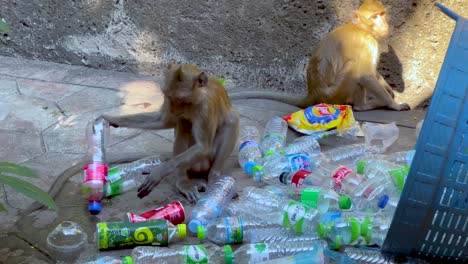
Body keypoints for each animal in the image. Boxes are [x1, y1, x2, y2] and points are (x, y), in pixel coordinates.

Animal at [100, 64, 238, 202]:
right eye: (169, 97)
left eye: (181, 100)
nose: (173, 110)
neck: (200, 94)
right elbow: (163, 120)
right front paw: (112, 119)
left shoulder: (205, 107)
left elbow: (203, 147)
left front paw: (160, 171)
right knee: (183, 123)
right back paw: (182, 181)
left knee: (231, 121)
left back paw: (214, 177)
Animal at [229, 0, 410, 112]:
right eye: (374, 17)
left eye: (382, 14)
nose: (384, 24)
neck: (362, 28)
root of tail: (313, 94)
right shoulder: (368, 44)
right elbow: (365, 75)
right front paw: (393, 104)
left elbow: (372, 73)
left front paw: (387, 87)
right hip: (334, 93)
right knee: (354, 68)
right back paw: (362, 106)